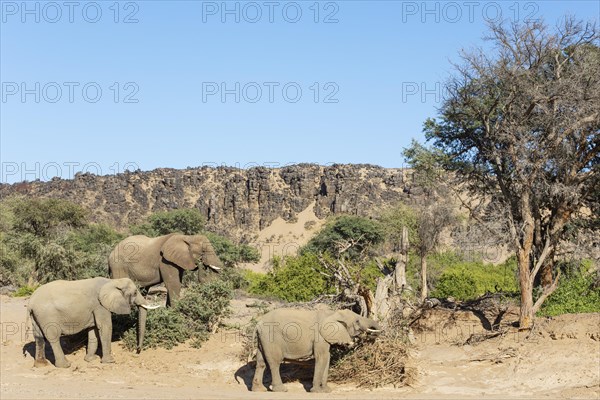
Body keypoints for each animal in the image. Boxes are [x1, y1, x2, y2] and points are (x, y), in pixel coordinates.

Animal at [27, 278, 158, 368]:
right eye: (135, 293)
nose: (138, 351)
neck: (112, 282)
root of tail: (31, 302)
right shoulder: (100, 305)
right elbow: (105, 327)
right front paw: (110, 361)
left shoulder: (95, 309)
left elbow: (93, 330)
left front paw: (91, 359)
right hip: (48, 316)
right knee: (53, 337)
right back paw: (65, 365)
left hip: (36, 316)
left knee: (39, 337)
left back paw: (41, 365)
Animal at [251, 308, 382, 392]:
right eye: (357, 321)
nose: (369, 338)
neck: (332, 313)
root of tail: (257, 324)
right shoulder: (319, 336)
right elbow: (322, 357)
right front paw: (317, 391)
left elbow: (327, 358)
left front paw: (327, 391)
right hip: (271, 337)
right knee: (274, 362)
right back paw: (281, 390)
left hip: (263, 339)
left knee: (261, 362)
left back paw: (259, 390)